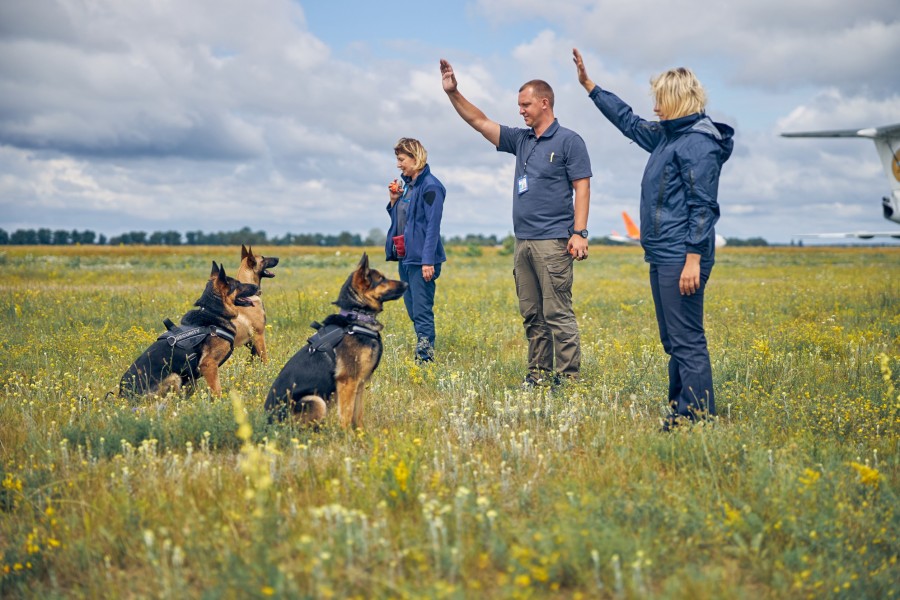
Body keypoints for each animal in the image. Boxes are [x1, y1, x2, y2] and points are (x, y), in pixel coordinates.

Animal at [118, 262, 258, 398]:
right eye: (238, 284)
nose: (257, 287)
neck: (212, 311)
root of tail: (123, 393)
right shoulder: (208, 365)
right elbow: (216, 390)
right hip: (174, 376)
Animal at [264, 253, 408, 432]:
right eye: (381, 279)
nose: (407, 283)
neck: (357, 317)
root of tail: (266, 420)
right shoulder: (347, 382)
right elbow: (346, 414)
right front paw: (346, 435)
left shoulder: (359, 384)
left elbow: (357, 413)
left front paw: (360, 433)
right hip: (316, 401)